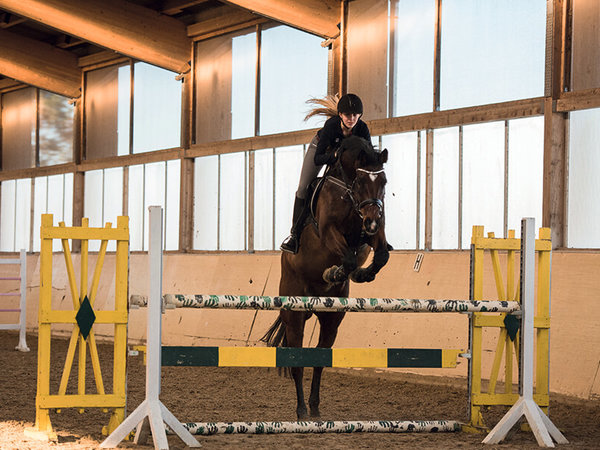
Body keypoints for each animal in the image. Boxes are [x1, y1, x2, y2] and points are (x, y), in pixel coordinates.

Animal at [262, 135, 392, 420]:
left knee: (320, 359)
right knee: (297, 361)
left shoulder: (370, 234)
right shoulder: (329, 230)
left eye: (384, 182)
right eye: (361, 181)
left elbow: (379, 255)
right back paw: (301, 410)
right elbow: (348, 257)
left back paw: (314, 407)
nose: (372, 221)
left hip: (332, 319)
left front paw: (361, 273)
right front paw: (334, 271)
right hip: (294, 314)